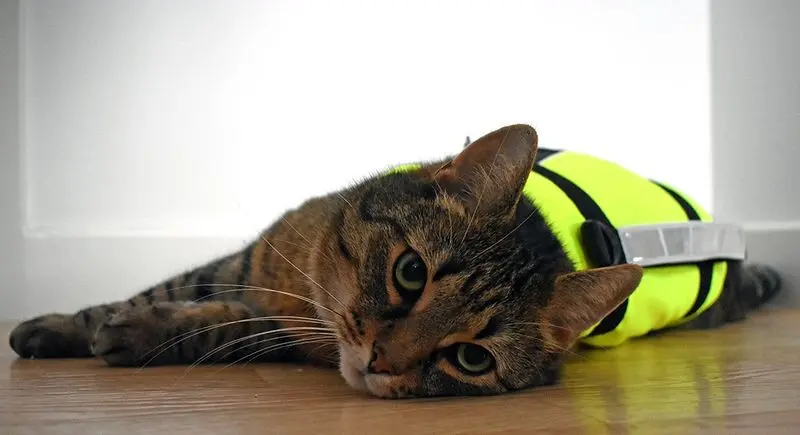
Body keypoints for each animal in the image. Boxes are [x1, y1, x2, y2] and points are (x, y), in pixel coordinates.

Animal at [8, 124, 781, 399]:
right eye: (410, 272)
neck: (307, 288)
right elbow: (161, 287)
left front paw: (136, 332)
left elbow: (220, 325)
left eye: (472, 358)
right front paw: (65, 323)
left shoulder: (283, 329)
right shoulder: (244, 262)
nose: (382, 361)